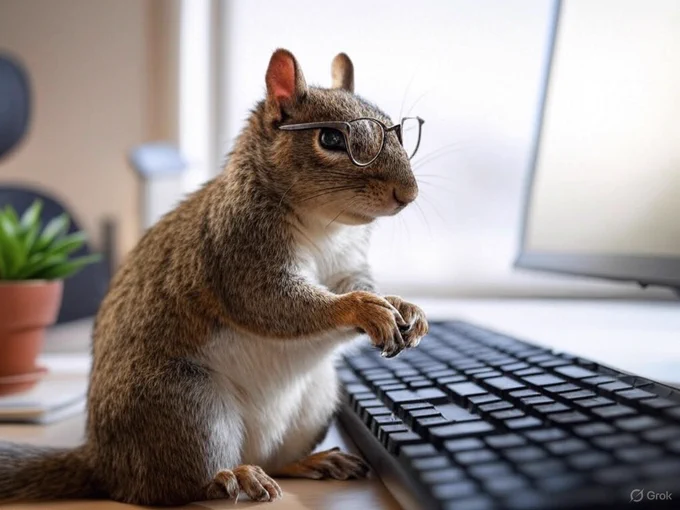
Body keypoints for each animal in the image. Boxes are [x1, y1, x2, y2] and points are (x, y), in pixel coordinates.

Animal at [0, 49, 428, 505]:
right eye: (330, 139)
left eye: (400, 131)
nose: (408, 194)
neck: (325, 225)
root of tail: (103, 463)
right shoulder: (235, 250)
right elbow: (275, 303)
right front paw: (364, 310)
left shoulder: (348, 264)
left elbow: (354, 284)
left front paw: (404, 307)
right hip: (186, 409)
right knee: (173, 485)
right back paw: (231, 477)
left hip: (313, 402)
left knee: (275, 459)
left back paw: (309, 463)